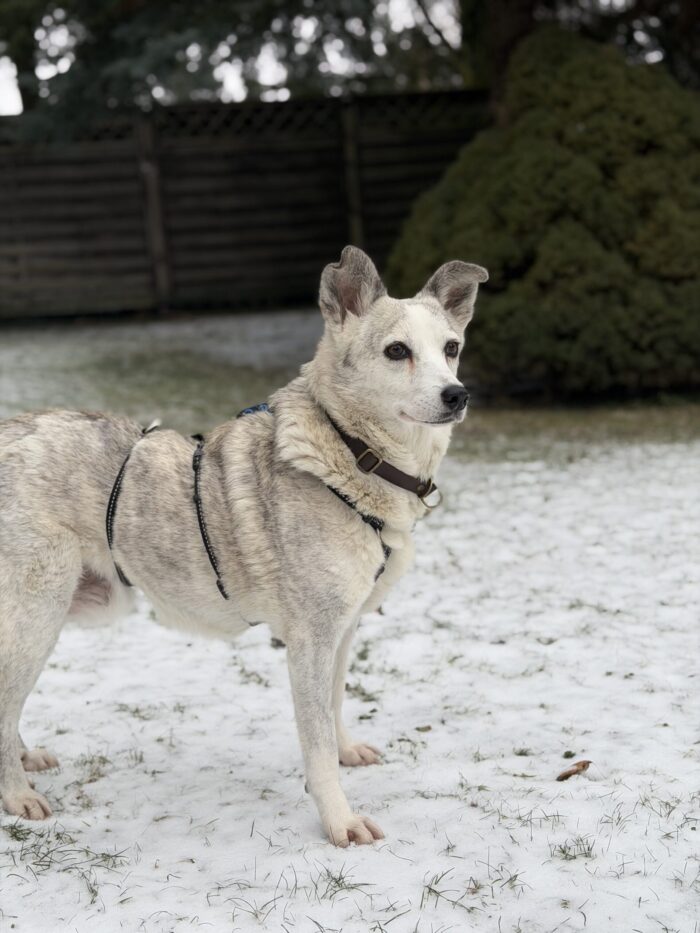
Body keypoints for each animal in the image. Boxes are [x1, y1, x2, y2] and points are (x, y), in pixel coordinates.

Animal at [0, 246, 487, 846]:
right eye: (397, 351)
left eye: (451, 348)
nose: (457, 395)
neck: (350, 451)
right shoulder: (309, 640)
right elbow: (315, 741)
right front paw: (339, 821)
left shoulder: (343, 628)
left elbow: (334, 704)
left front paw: (347, 750)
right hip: (37, 613)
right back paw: (17, 792)